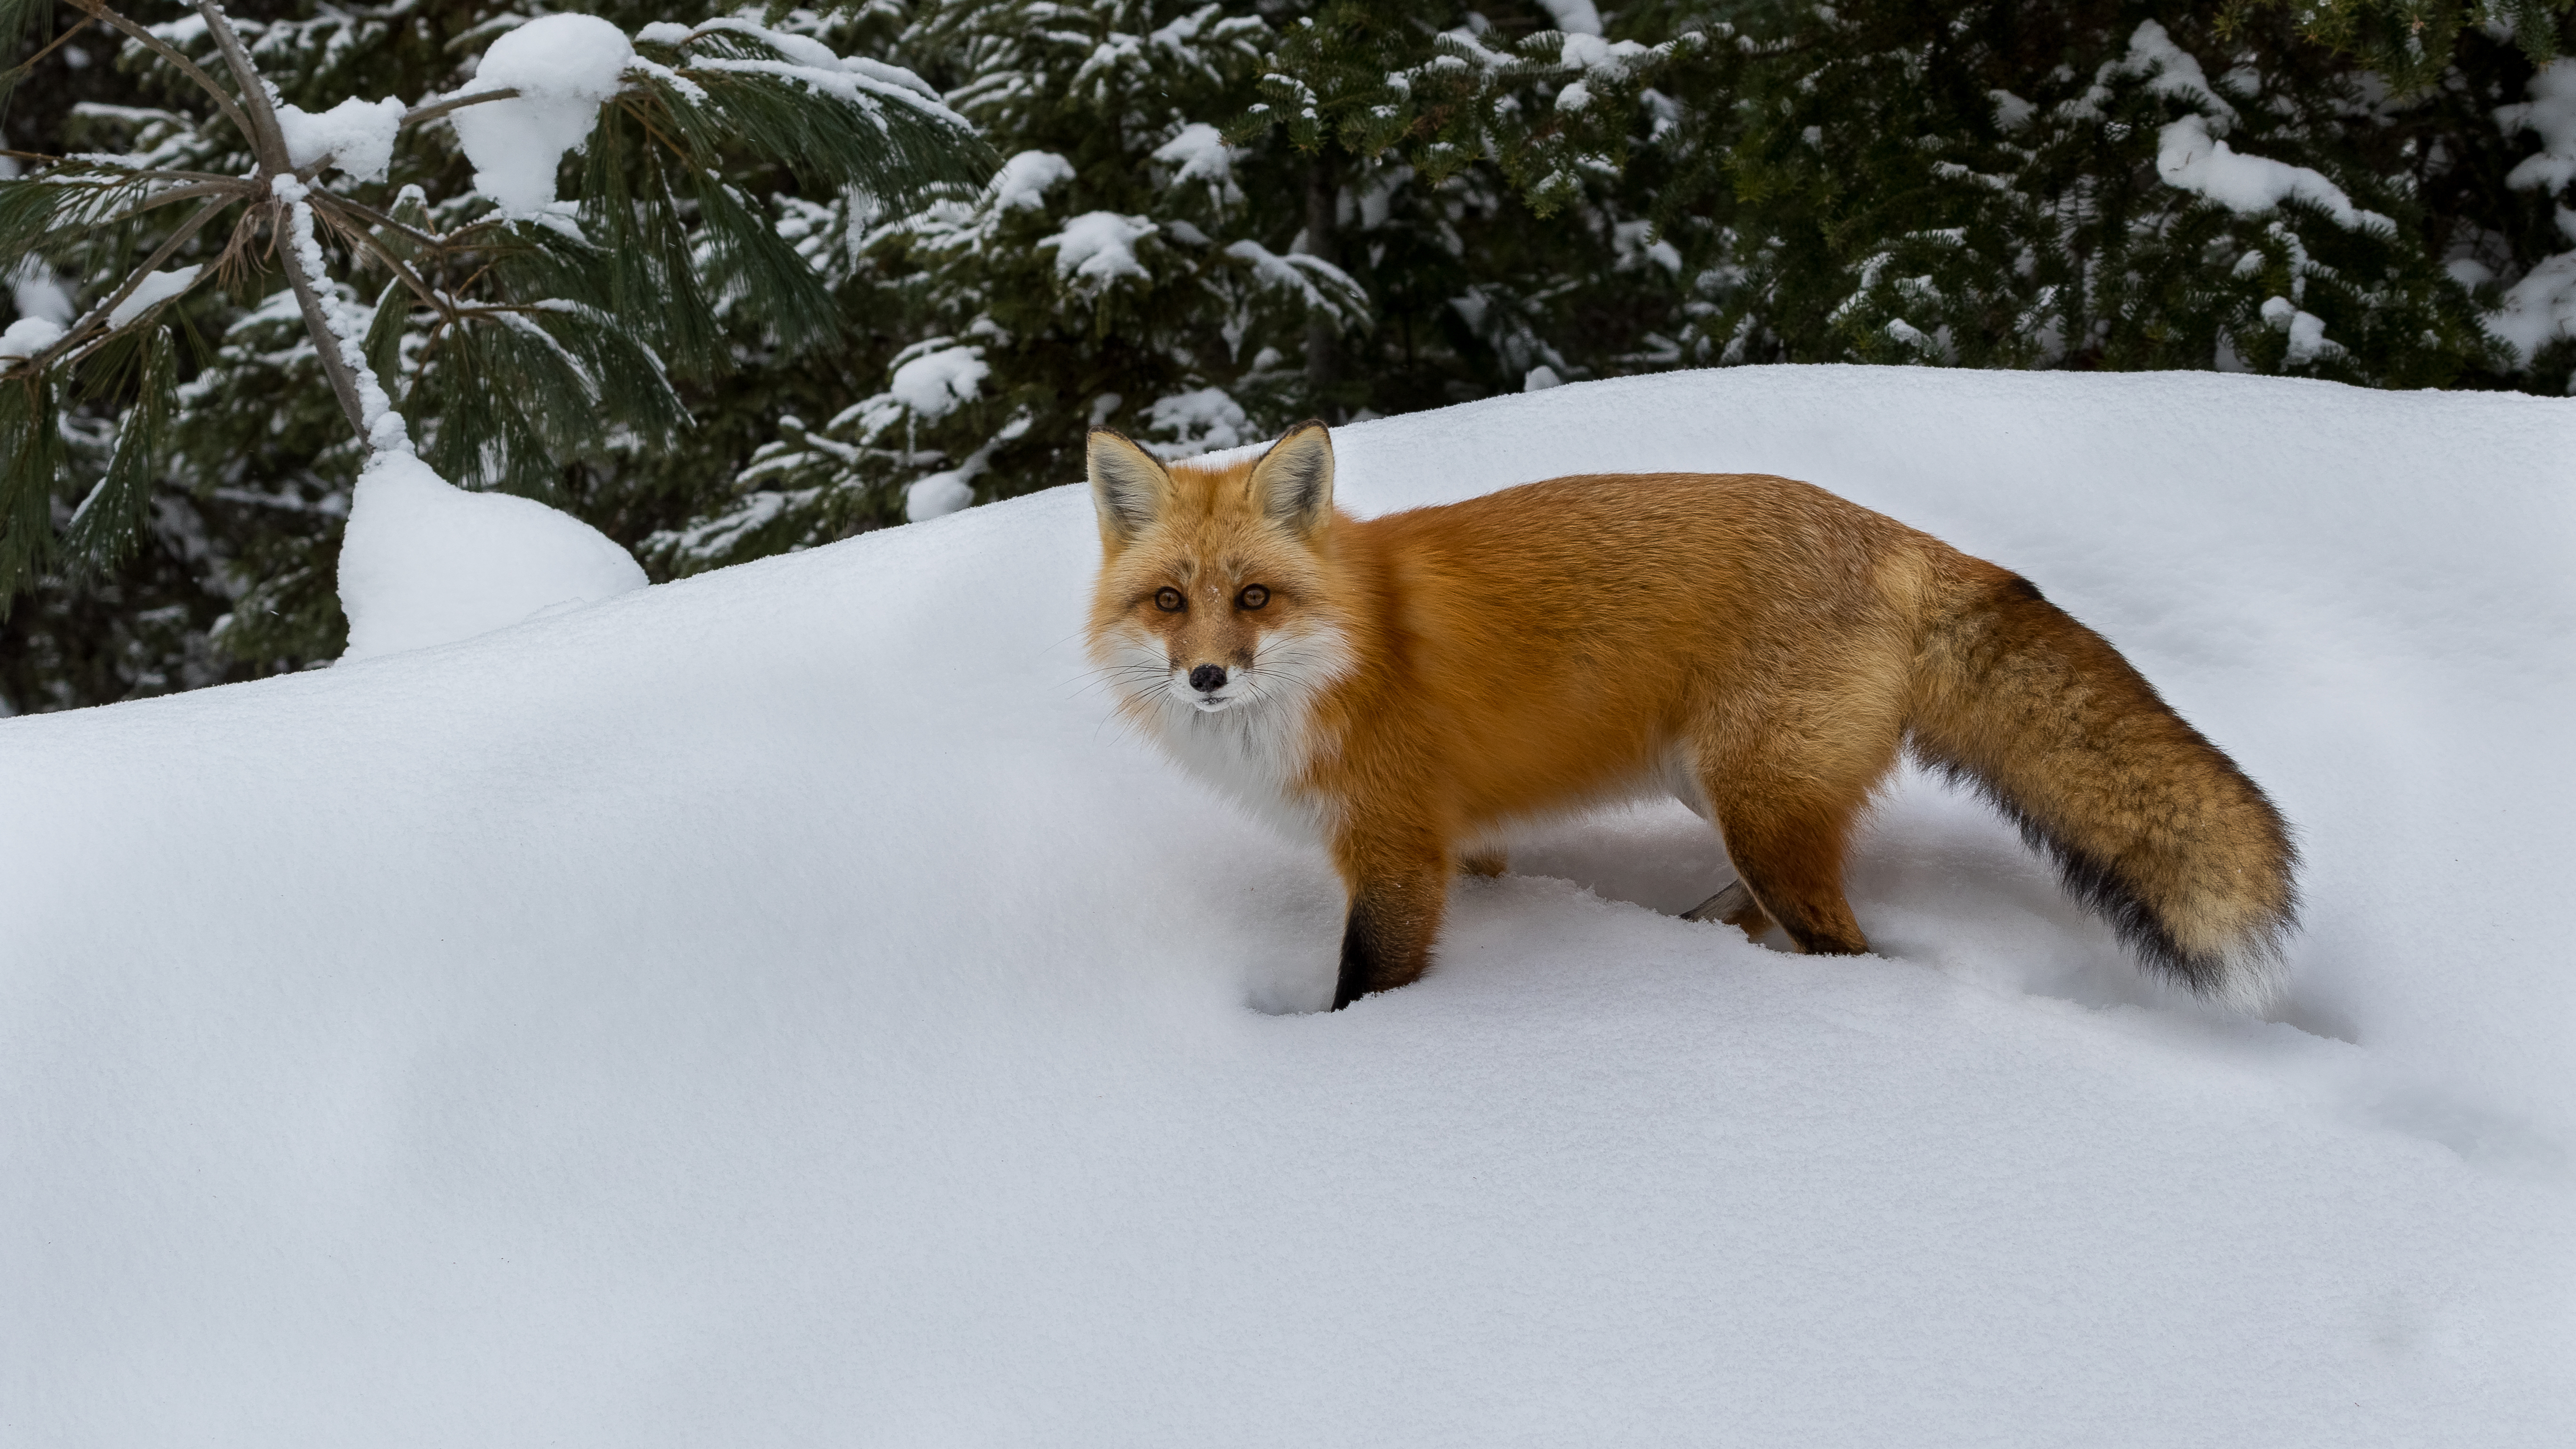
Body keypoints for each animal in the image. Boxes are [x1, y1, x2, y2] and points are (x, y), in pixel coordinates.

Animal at [1077, 415, 2308, 1005]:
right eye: (1169, 602)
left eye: (1253, 598)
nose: (1206, 676)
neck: (1345, 650)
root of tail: (1901, 538)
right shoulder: (1453, 842)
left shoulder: (1393, 850)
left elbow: (1363, 991)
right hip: (1725, 795)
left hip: (1758, 806)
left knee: (1843, 948)